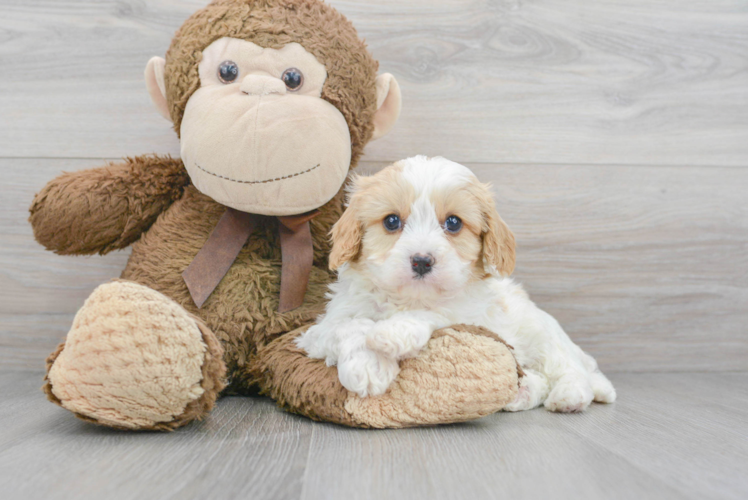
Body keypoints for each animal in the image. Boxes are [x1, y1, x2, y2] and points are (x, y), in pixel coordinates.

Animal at [296, 155, 616, 410]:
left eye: (453, 223)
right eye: (391, 221)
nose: (421, 261)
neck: (408, 298)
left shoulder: (470, 316)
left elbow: (436, 313)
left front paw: (394, 332)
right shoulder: (318, 332)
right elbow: (349, 326)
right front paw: (368, 365)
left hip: (543, 333)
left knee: (568, 368)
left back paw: (570, 396)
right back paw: (522, 392)